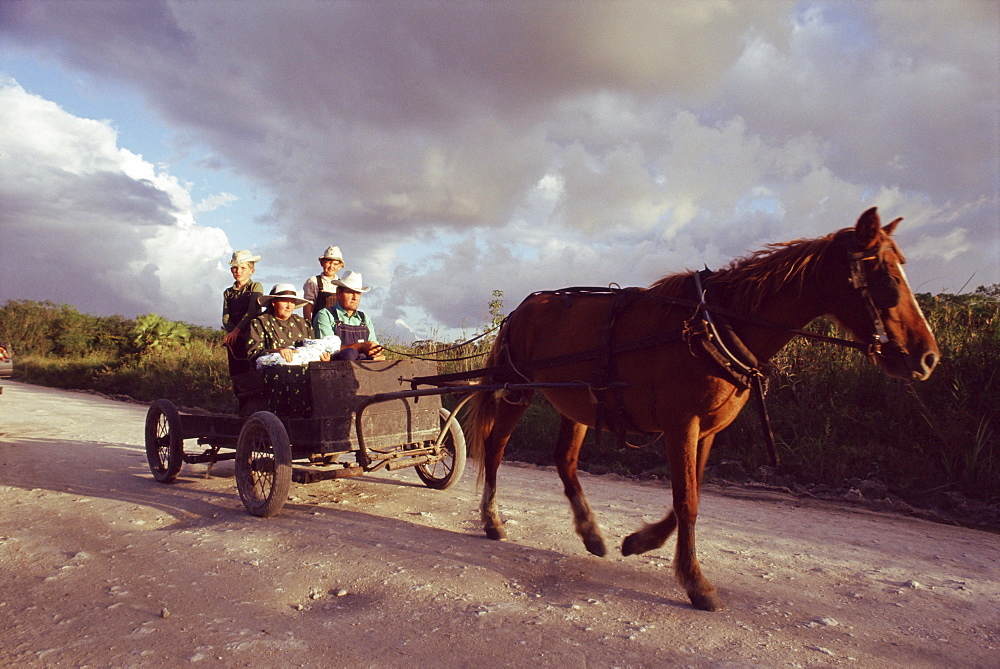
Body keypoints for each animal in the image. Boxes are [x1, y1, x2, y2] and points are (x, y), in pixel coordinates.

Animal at [464, 207, 940, 612]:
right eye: (885, 274)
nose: (928, 357)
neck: (716, 324)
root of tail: (519, 310)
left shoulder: (707, 430)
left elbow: (688, 498)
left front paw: (640, 541)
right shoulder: (682, 424)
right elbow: (687, 501)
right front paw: (695, 582)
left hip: (577, 401)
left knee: (564, 460)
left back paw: (591, 533)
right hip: (517, 391)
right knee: (496, 448)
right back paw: (492, 520)